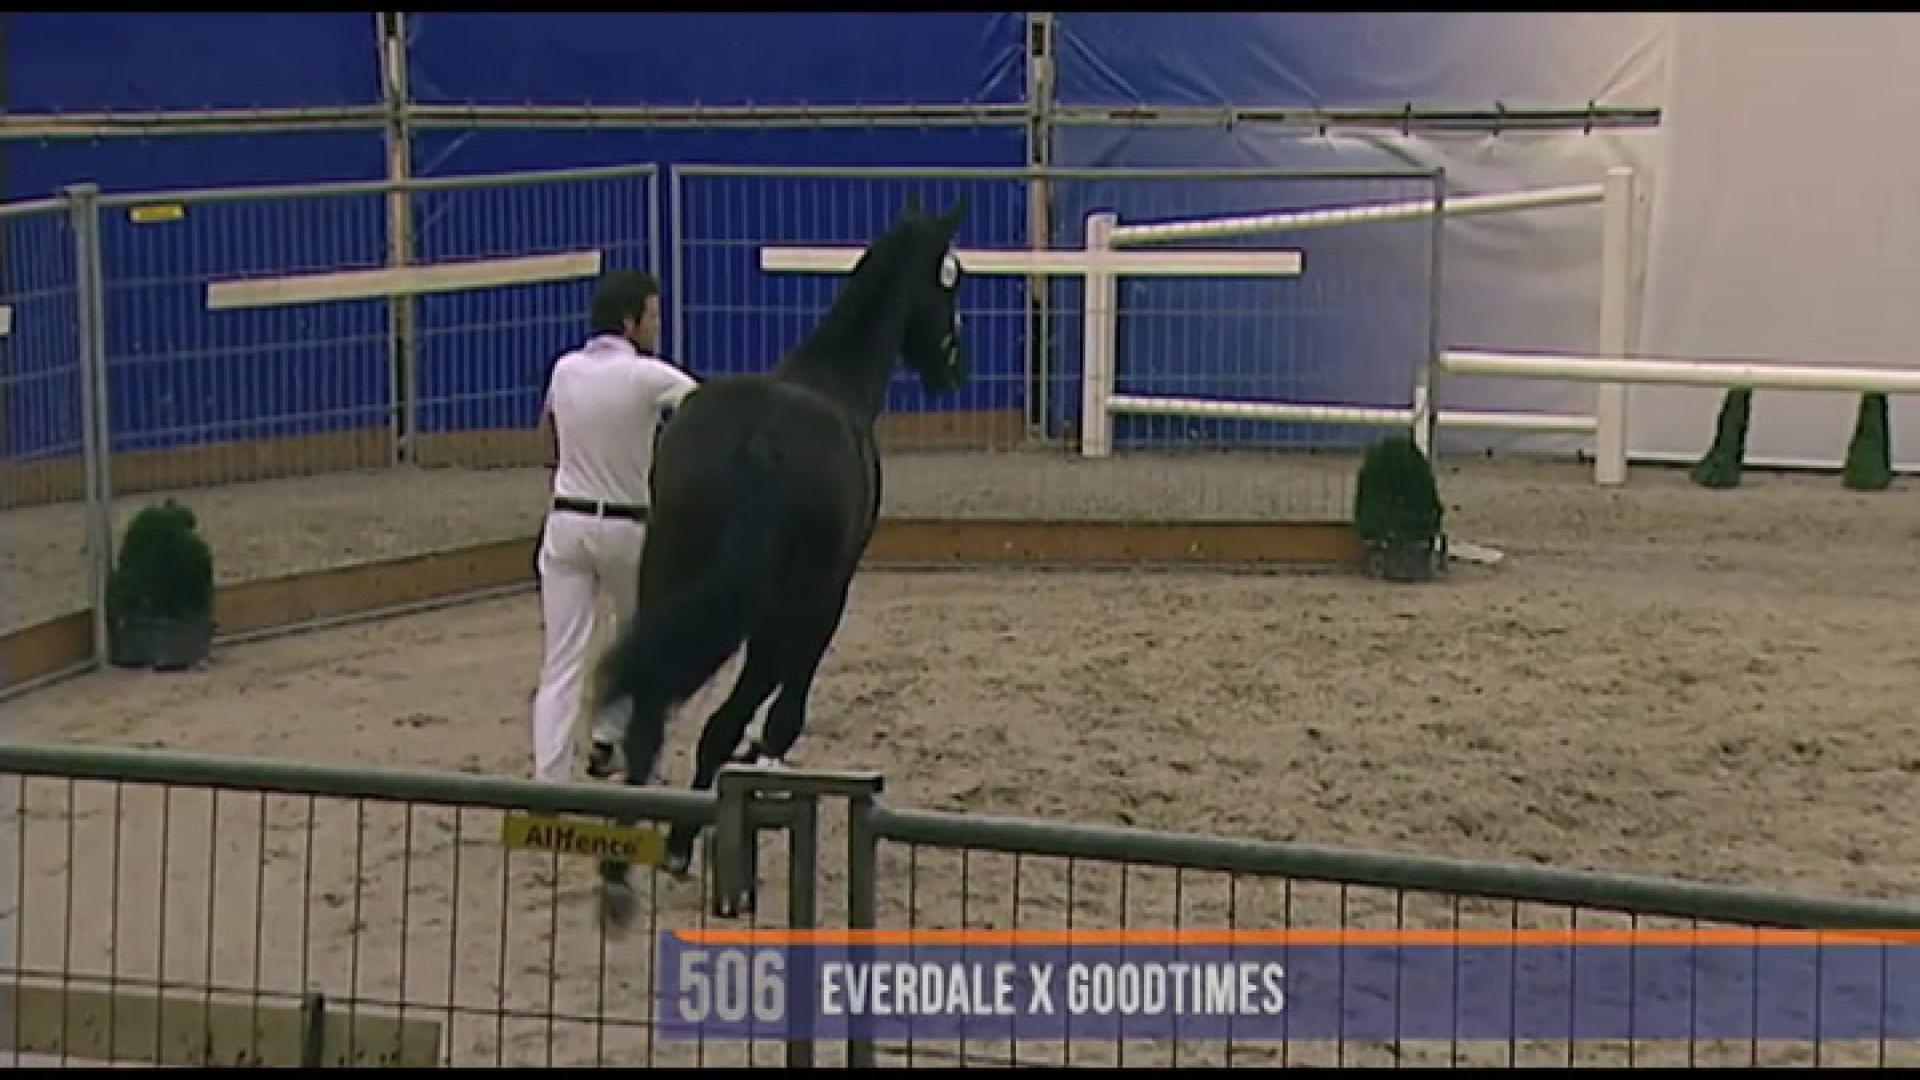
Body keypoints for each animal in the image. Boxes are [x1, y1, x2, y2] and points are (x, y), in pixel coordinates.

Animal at [589, 194, 971, 911]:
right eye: (951, 282)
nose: (953, 367)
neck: (835, 380)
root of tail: (757, 445)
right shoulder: (829, 596)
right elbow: (783, 715)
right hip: (779, 608)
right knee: (722, 720)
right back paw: (681, 845)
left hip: (668, 574)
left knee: (650, 708)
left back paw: (621, 863)